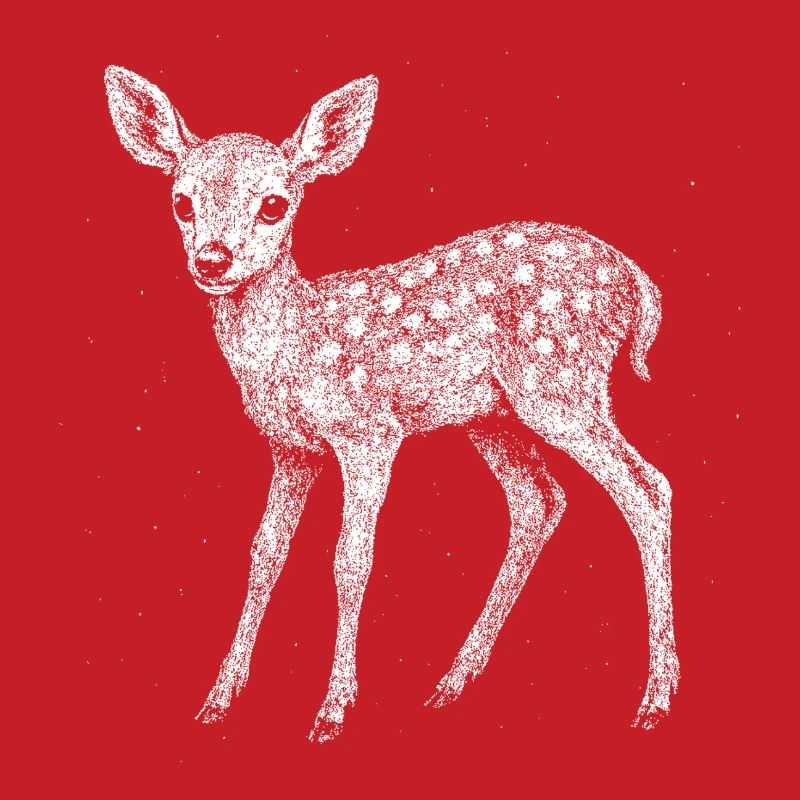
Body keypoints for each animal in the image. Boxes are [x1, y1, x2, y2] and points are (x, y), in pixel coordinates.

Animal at [104, 66, 679, 742]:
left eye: (274, 204)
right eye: (181, 202)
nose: (213, 260)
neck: (296, 343)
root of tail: (640, 286)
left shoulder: (368, 433)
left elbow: (350, 560)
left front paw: (332, 709)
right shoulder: (292, 449)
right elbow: (264, 552)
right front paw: (219, 698)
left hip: (561, 383)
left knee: (646, 487)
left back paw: (656, 698)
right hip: (493, 414)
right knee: (539, 500)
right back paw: (453, 682)